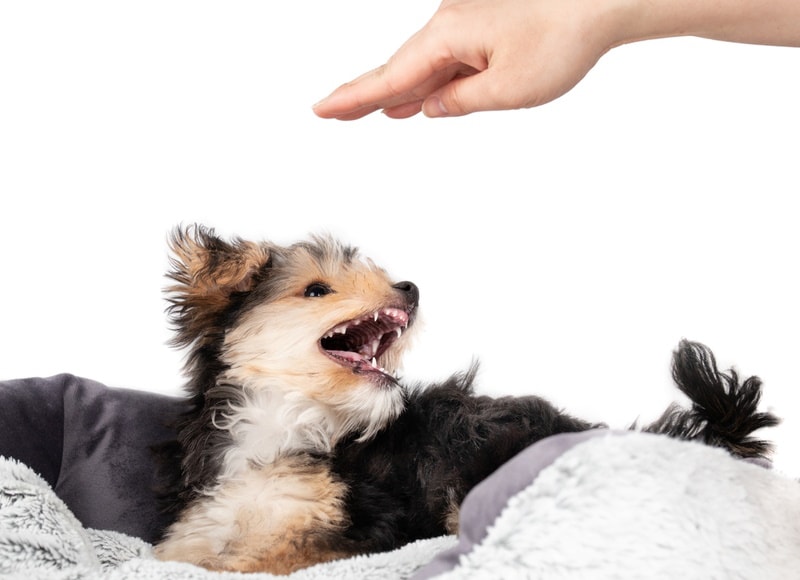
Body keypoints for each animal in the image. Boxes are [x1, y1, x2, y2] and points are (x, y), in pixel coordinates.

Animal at [153, 224, 780, 572]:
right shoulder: (195, 531)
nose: (410, 287)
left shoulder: (344, 534)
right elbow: (183, 556)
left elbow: (251, 562)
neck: (286, 429)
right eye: (316, 290)